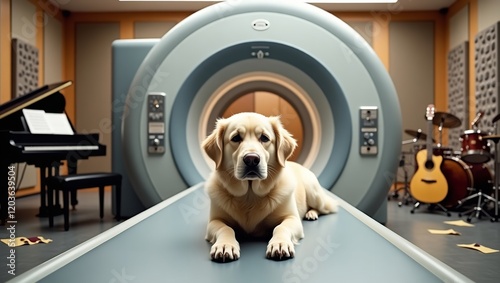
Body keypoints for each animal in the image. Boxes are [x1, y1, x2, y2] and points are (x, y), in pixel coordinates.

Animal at [201, 112, 338, 262]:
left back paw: (311, 213)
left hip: (314, 194)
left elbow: (280, 228)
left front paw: (280, 244)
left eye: (264, 138)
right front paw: (225, 245)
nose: (251, 159)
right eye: (235, 138)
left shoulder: (292, 218)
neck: (250, 195)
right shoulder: (214, 221)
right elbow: (226, 229)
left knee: (326, 208)